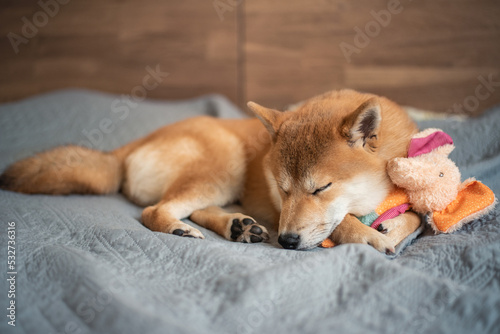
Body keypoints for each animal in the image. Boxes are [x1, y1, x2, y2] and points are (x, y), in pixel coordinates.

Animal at [0, 90, 422, 252]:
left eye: (321, 188)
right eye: (282, 189)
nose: (285, 241)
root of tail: (127, 148)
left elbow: (417, 217)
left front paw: (392, 226)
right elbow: (343, 223)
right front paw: (370, 237)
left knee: (199, 209)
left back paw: (239, 226)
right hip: (225, 164)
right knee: (155, 210)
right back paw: (180, 228)